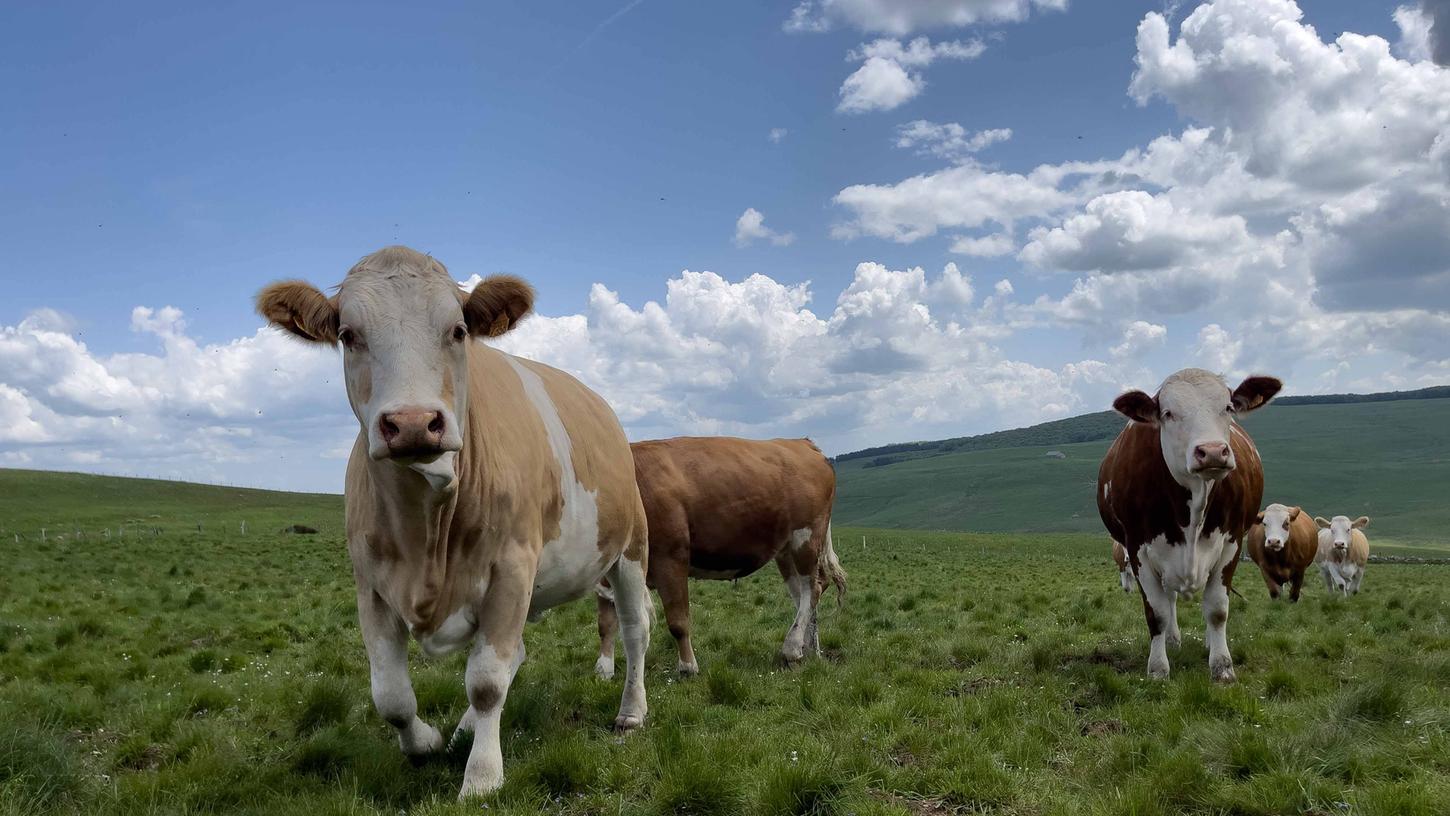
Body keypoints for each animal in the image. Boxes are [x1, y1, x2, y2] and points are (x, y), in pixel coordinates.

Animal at [256, 247, 652, 800]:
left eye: (459, 330)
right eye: (348, 334)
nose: (413, 423)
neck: (426, 532)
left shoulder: (511, 569)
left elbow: (486, 681)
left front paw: (482, 777)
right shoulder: (370, 584)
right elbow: (390, 693)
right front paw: (426, 742)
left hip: (630, 547)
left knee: (636, 629)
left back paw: (631, 712)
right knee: (518, 652)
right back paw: (464, 728)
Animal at [591, 437, 846, 672]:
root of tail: (801, 442)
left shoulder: (671, 557)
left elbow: (678, 621)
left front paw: (687, 667)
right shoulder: (609, 572)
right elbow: (605, 623)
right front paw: (604, 669)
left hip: (806, 537)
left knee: (812, 588)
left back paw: (792, 648)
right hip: (785, 549)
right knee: (803, 593)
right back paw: (809, 649)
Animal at [1096, 371, 1281, 684]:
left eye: (1228, 408)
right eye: (1168, 414)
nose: (1212, 452)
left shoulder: (1231, 544)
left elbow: (1217, 609)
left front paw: (1222, 666)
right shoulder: (1138, 550)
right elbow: (1157, 613)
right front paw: (1158, 668)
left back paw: (1209, 642)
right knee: (1169, 599)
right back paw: (1172, 640)